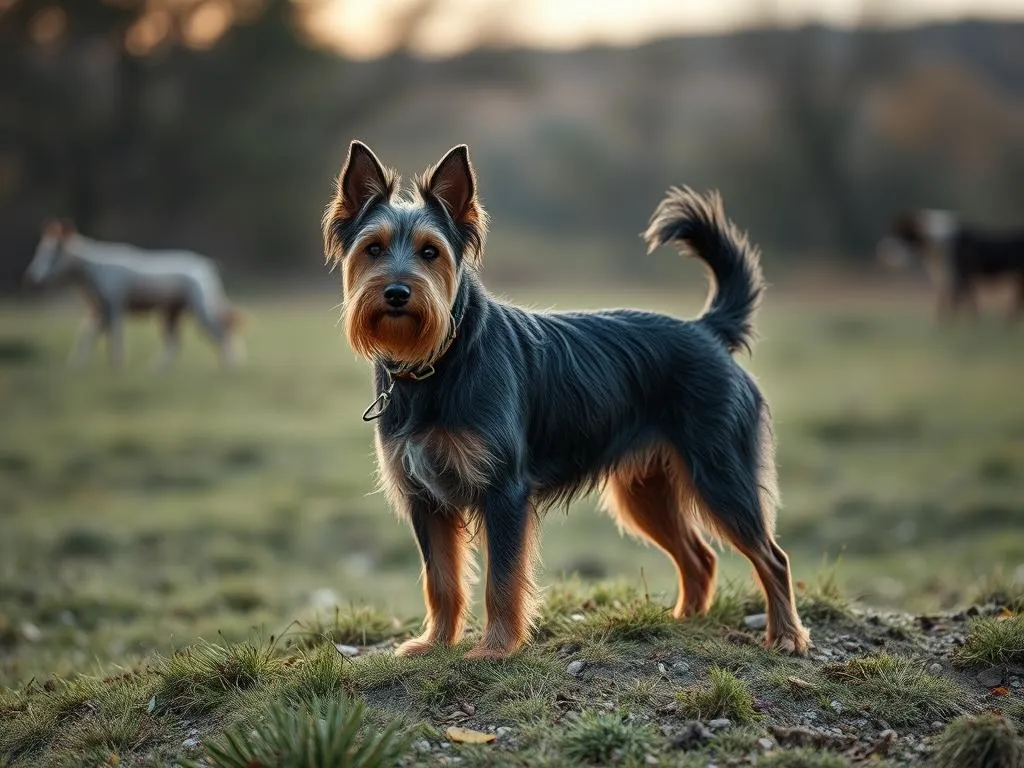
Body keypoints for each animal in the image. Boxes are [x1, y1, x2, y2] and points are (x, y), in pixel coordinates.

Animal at [24, 219, 245, 370]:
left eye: (54, 253)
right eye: (39, 250)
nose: (31, 276)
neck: (91, 271)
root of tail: (206, 264)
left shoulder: (114, 306)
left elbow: (115, 338)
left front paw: (117, 367)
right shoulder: (99, 310)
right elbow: (85, 338)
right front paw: (75, 367)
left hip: (200, 309)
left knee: (223, 331)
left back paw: (229, 369)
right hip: (170, 313)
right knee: (175, 343)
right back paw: (157, 370)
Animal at [323, 143, 811, 663]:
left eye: (429, 252)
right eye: (373, 249)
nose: (397, 293)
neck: (437, 360)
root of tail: (706, 331)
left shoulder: (505, 492)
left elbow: (501, 582)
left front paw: (495, 649)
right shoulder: (425, 499)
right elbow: (441, 580)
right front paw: (435, 644)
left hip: (720, 476)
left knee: (772, 557)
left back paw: (786, 635)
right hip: (647, 491)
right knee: (700, 556)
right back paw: (686, 621)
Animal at [876, 208, 1024, 323]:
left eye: (900, 231)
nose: (883, 251)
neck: (937, 243)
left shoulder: (958, 277)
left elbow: (956, 303)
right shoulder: (946, 278)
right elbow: (952, 303)